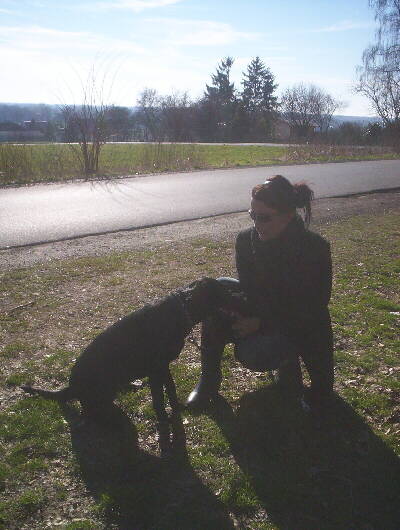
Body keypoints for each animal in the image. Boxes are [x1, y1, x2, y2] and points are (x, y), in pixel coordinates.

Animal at [21, 276, 228, 420]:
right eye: (222, 291)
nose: (236, 293)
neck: (181, 309)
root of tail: (71, 387)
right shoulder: (156, 369)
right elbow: (159, 399)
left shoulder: (163, 367)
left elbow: (170, 388)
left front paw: (176, 409)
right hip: (103, 392)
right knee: (91, 412)